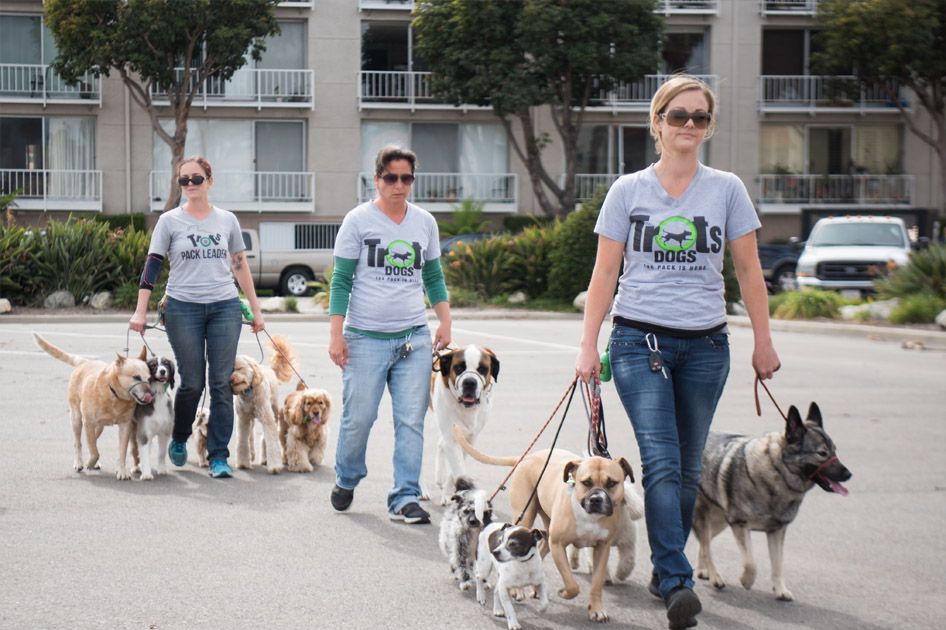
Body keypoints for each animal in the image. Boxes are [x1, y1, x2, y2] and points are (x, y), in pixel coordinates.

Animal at [430, 344, 498, 506]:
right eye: (459, 368)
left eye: (482, 369)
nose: (470, 382)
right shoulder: (451, 437)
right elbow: (458, 468)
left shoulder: (469, 440)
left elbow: (454, 470)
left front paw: (449, 491)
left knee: (440, 445)